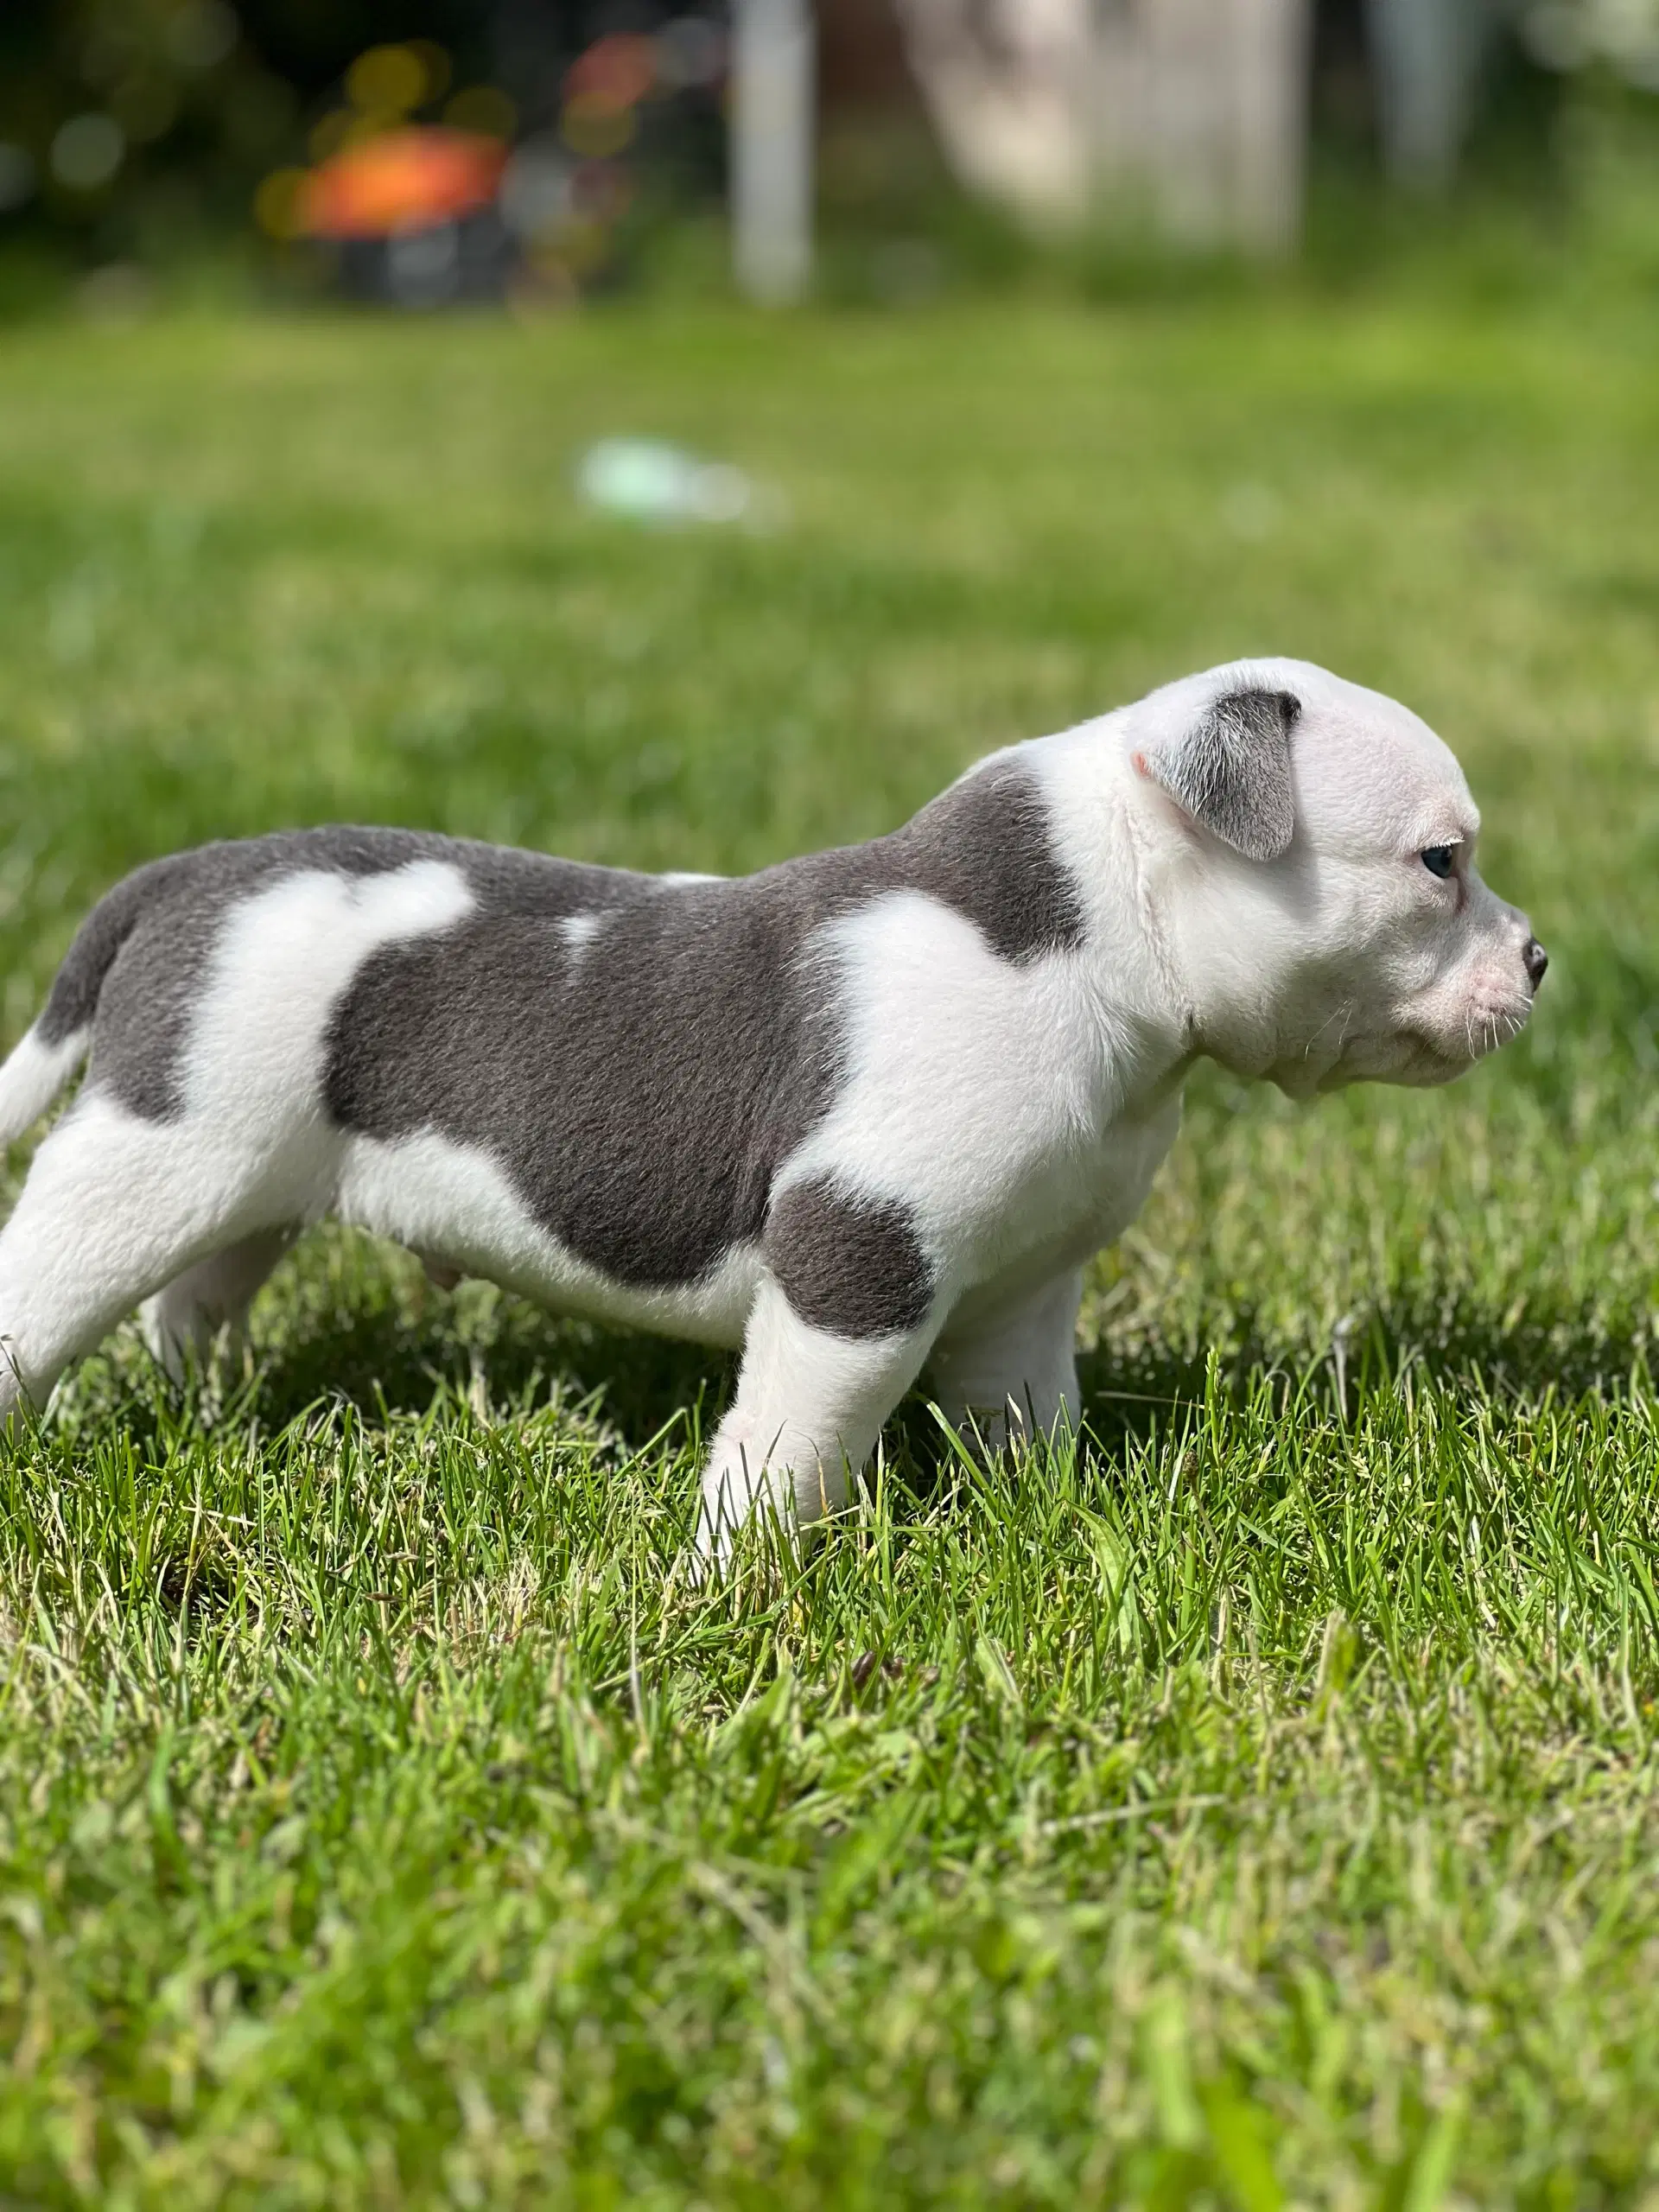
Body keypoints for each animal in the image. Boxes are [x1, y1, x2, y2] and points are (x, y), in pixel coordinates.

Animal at [0, 650, 1548, 1557]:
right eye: (1440, 862)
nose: (1539, 960)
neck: (1097, 942)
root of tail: (189, 874)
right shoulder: (859, 1262)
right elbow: (795, 1444)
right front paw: (737, 1580)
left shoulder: (1020, 1289)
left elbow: (1023, 1417)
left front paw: (1038, 1525)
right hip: (154, 1157)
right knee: (52, 1282)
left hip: (245, 1174)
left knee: (194, 1300)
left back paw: (206, 1415)